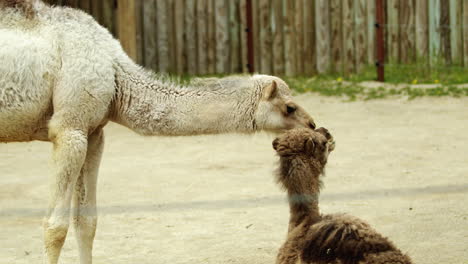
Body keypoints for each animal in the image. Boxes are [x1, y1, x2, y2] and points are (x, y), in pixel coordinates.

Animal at [0, 1, 314, 262]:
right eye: (289, 107)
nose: (312, 125)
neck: (117, 76)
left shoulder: (93, 132)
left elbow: (86, 222)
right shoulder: (68, 128)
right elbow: (55, 227)